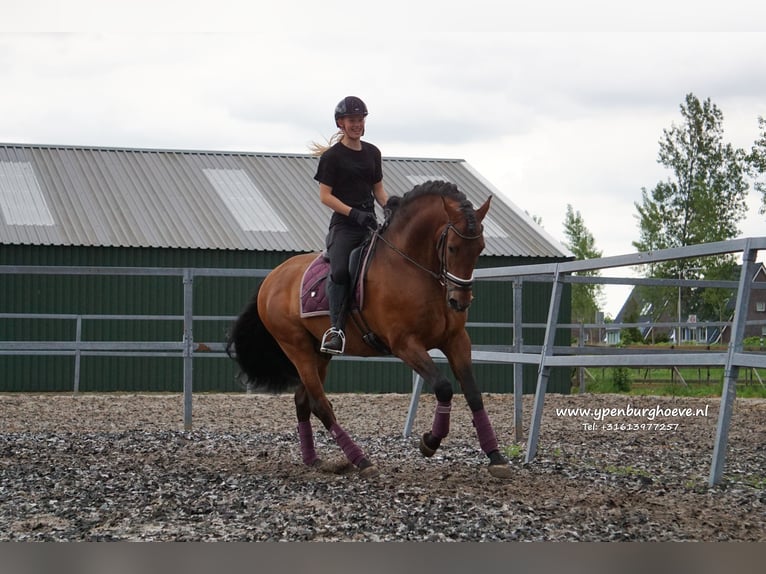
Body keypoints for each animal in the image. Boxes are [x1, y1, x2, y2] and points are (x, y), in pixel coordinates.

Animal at [228, 181, 516, 482]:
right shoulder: (405, 344)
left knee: (303, 400)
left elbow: (473, 392)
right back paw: (361, 460)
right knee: (320, 404)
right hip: (297, 349)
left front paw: (496, 457)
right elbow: (444, 387)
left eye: (480, 248)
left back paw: (314, 460)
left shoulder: (456, 340)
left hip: (320, 352)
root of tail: (271, 278)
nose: (459, 302)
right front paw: (430, 441)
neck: (411, 266)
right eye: (452, 247)